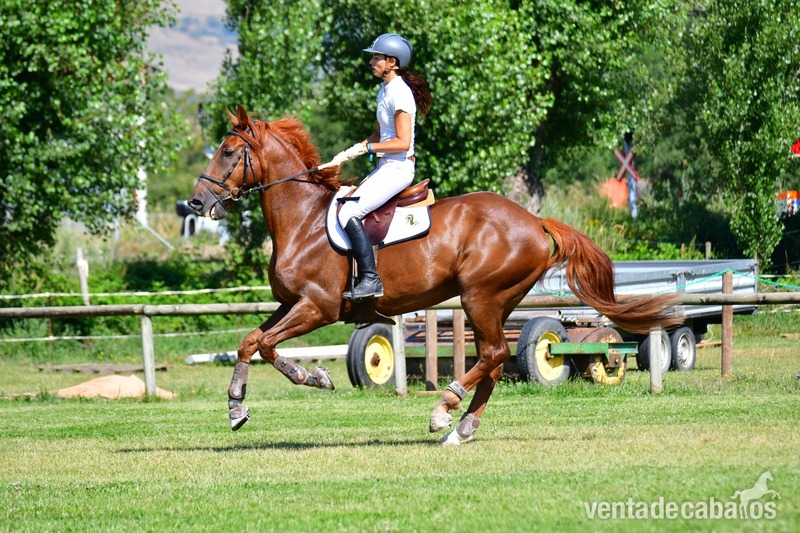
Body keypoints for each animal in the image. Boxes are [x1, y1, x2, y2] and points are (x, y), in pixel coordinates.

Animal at [187, 105, 681, 445]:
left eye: (228, 152)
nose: (195, 203)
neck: (302, 220)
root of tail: (534, 220)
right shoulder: (291, 303)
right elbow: (251, 340)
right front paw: (235, 407)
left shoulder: (318, 307)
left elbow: (269, 346)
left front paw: (314, 378)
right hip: (494, 303)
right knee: (494, 360)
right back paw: (461, 428)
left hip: (480, 297)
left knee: (494, 355)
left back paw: (445, 409)